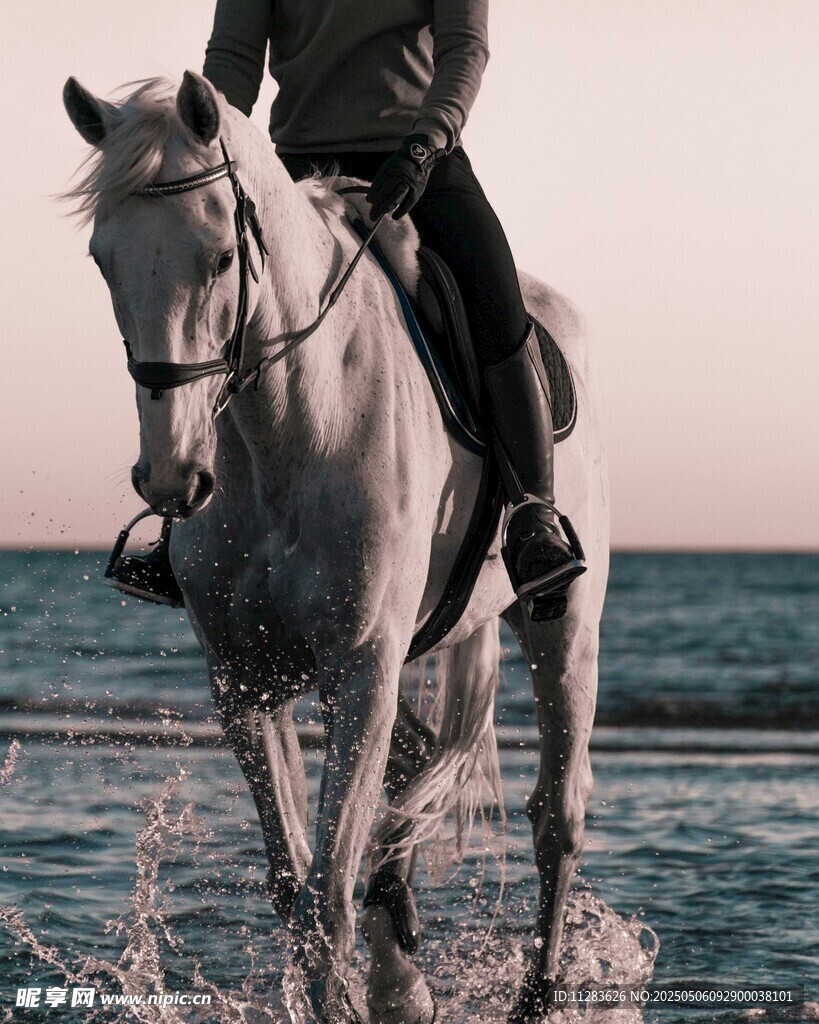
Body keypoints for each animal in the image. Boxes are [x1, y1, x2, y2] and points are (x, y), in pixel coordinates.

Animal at [62, 71, 609, 1024]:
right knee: (418, 773)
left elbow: (324, 895)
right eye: (104, 262)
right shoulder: (246, 683)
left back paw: (532, 995)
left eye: (220, 257)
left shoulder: (358, 668)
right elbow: (294, 887)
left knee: (556, 816)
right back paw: (402, 978)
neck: (291, 424)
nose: (171, 478)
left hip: (562, 625)